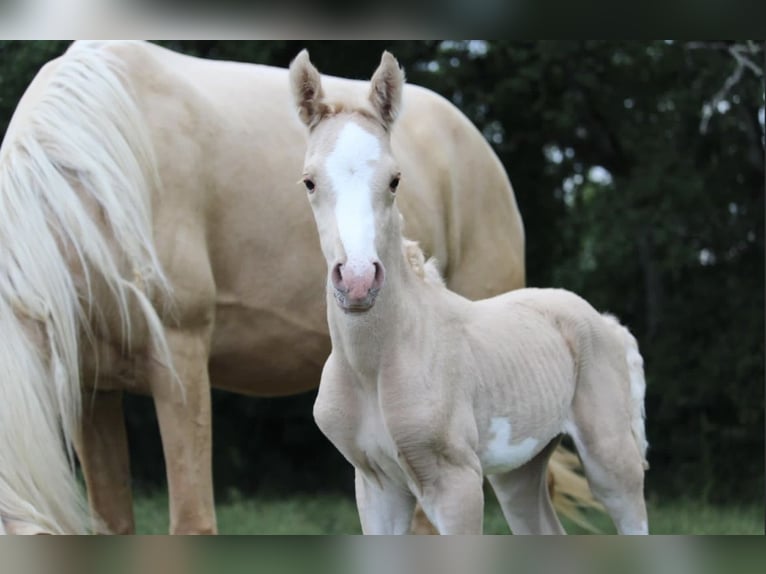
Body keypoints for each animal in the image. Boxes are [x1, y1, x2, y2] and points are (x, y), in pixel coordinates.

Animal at [0, 40, 588, 536]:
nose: (357, 280)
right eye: (306, 181)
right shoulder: (90, 391)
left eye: (395, 181)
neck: (95, 181)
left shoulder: (181, 362)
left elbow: (192, 521)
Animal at [292, 51, 652, 536]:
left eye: (395, 180)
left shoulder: (455, 482)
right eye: (309, 181)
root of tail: (606, 322)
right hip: (520, 469)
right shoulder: (376, 486)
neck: (376, 365)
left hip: (610, 460)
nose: (358, 281)